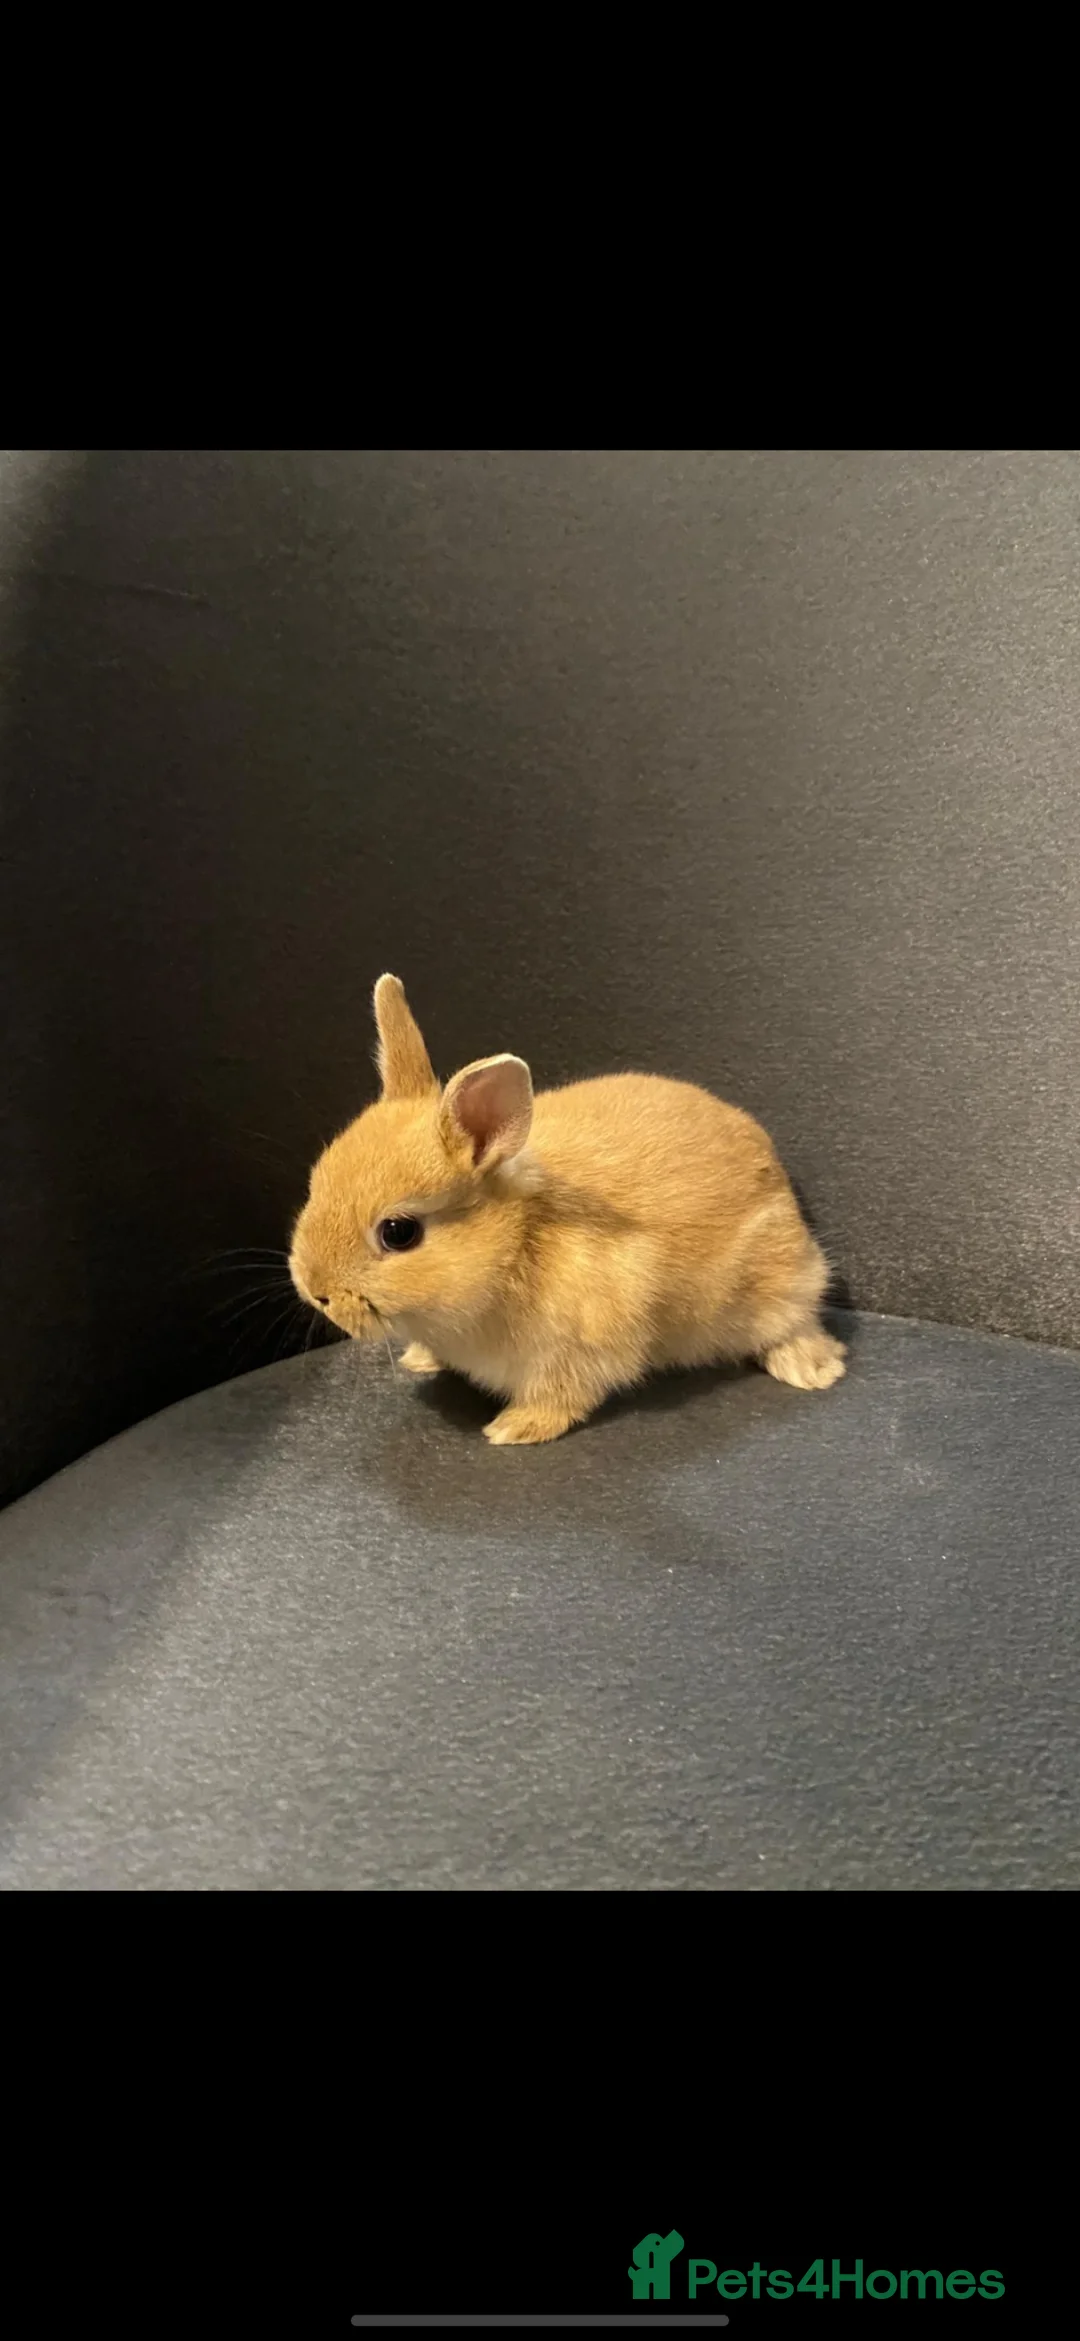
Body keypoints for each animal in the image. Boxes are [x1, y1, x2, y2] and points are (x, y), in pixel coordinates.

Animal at [288, 974, 847, 1446]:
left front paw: (512, 1428)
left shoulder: (581, 1348)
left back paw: (812, 1370)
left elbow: (563, 1394)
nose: (317, 1292)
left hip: (776, 1283)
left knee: (798, 1323)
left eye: (399, 1232)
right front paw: (420, 1360)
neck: (515, 1246)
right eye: (316, 1182)